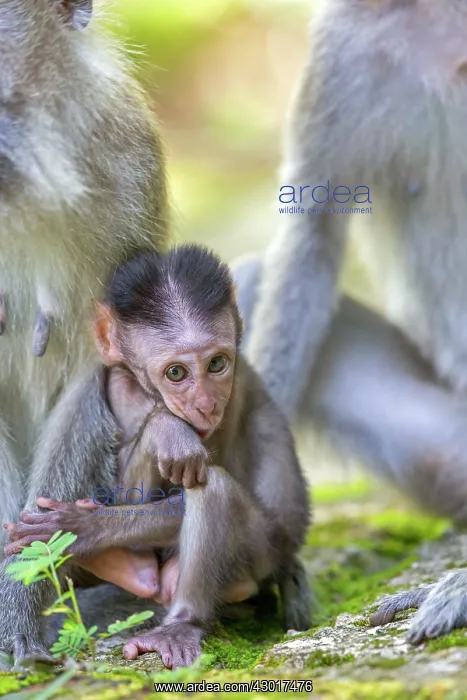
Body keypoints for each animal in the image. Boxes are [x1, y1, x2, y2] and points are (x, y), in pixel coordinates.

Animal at [6, 245, 312, 669]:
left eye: (217, 364)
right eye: (176, 373)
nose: (204, 404)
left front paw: (81, 527)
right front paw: (165, 425)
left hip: (261, 557)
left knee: (215, 491)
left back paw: (181, 622)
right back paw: (131, 570)